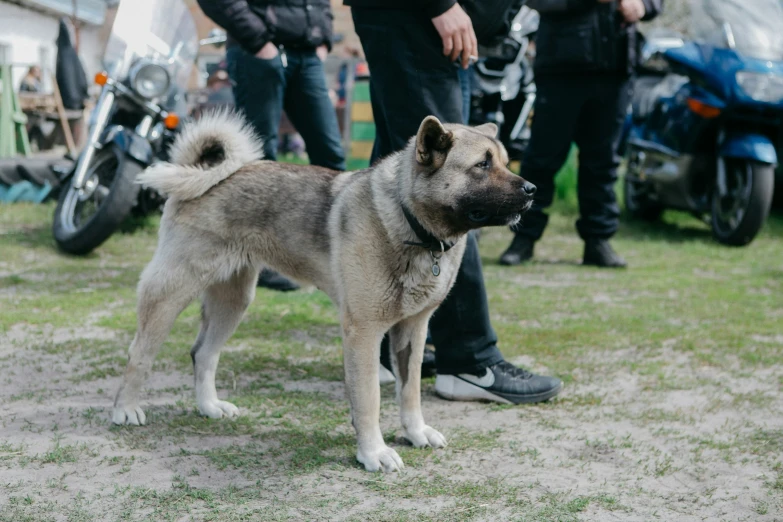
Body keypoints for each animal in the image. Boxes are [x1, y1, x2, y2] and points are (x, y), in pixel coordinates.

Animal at [112, 110, 540, 472]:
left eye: (505, 161)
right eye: (482, 165)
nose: (533, 189)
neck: (412, 225)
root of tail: (212, 174)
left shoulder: (412, 331)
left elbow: (410, 391)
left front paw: (415, 432)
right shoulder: (364, 333)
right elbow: (369, 398)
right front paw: (373, 452)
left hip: (233, 301)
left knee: (203, 354)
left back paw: (209, 407)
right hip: (171, 292)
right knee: (138, 354)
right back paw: (126, 409)